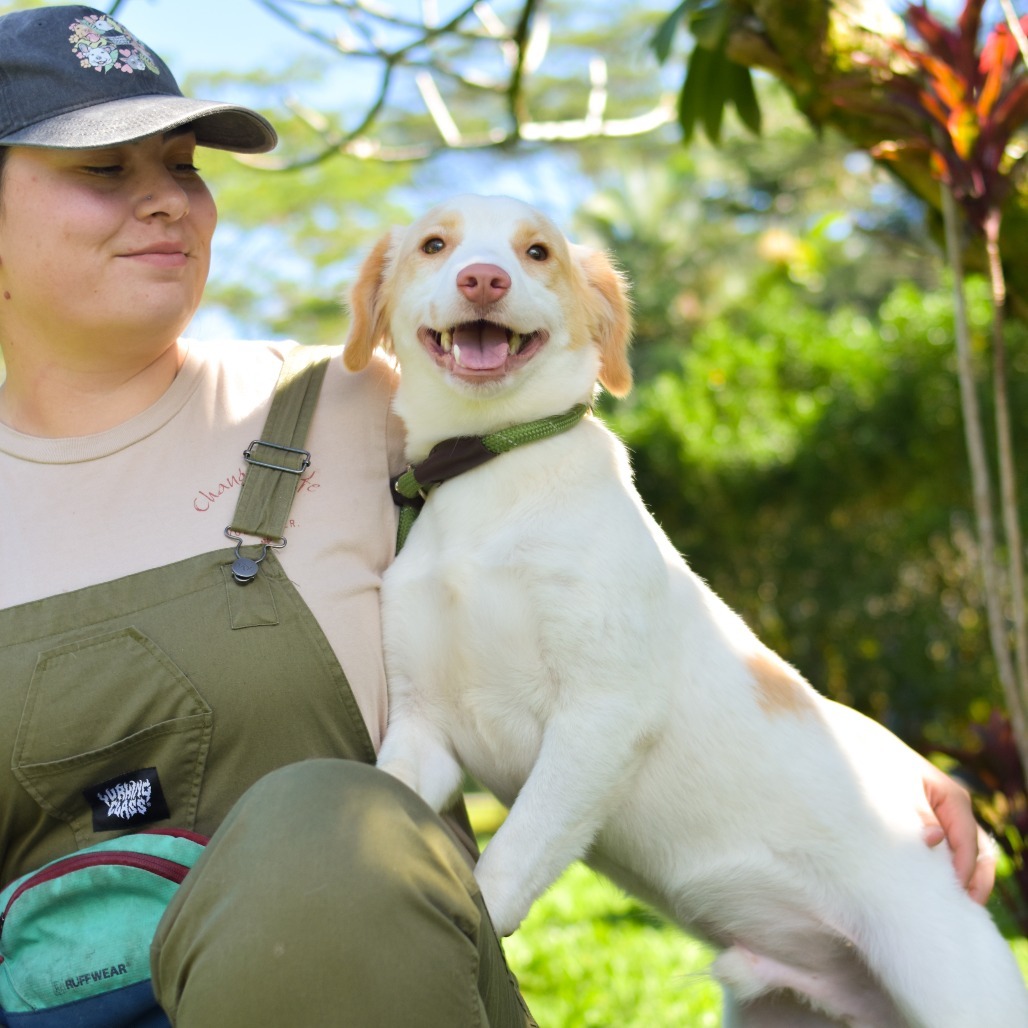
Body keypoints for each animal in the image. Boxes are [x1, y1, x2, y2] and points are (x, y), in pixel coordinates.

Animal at [343, 194, 1028, 1028]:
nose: (482, 278)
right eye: (435, 246)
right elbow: (385, 794)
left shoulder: (603, 713)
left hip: (955, 983)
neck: (494, 470)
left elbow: (510, 858)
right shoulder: (425, 727)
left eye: (538, 253)